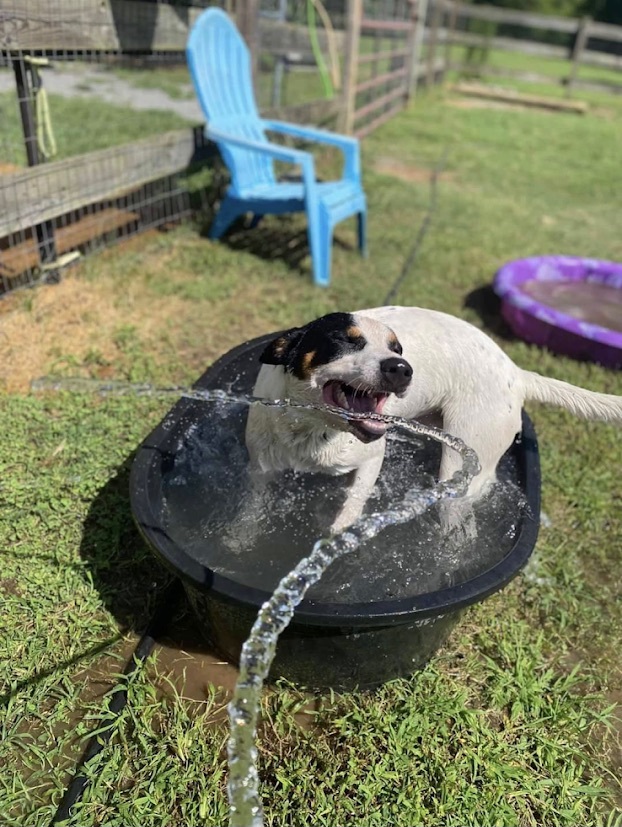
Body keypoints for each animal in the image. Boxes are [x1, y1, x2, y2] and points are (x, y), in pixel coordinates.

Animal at [246, 308, 622, 532]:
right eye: (343, 340)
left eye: (397, 348)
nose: (401, 368)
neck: (313, 429)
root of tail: (516, 373)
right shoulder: (261, 468)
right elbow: (251, 511)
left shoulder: (372, 458)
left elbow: (353, 502)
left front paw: (339, 533)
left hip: (462, 463)